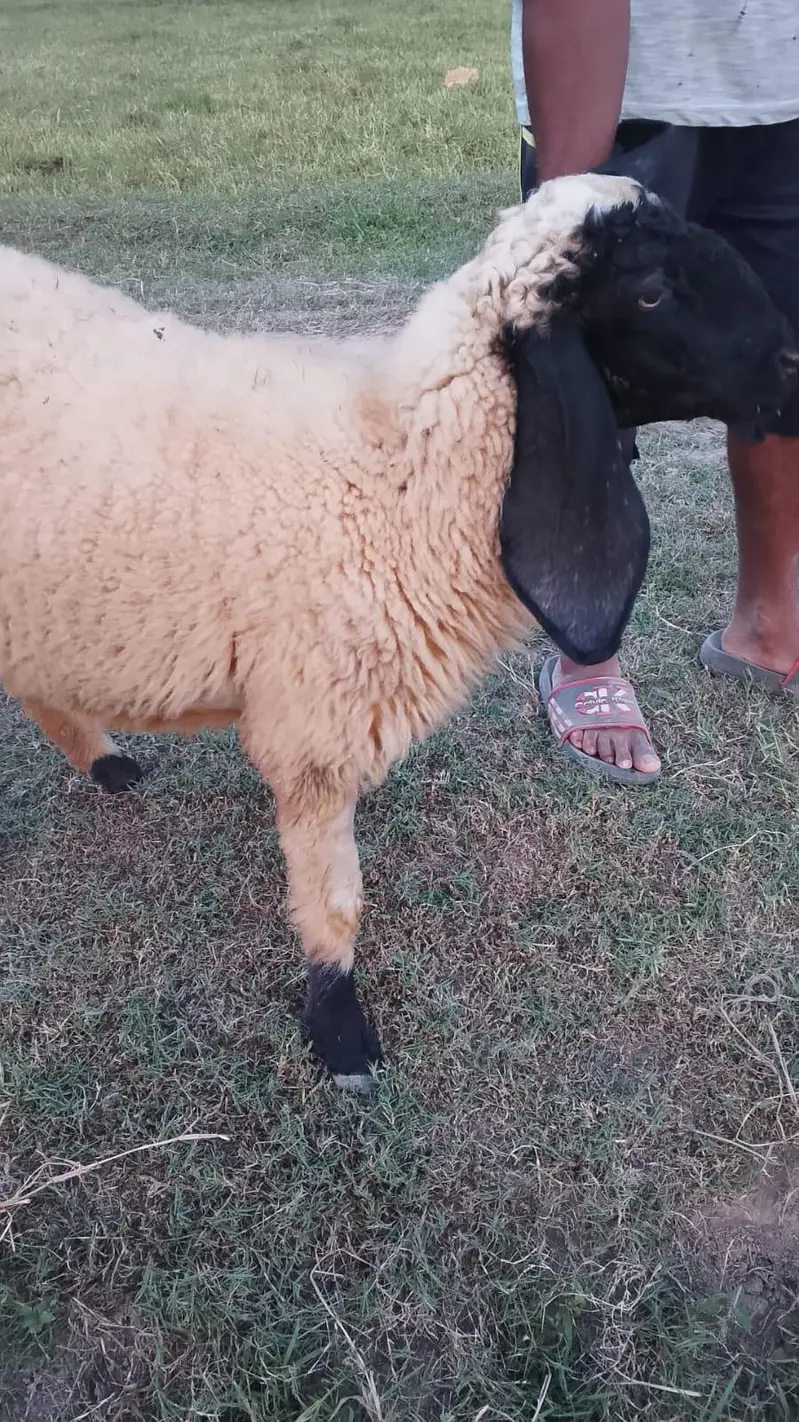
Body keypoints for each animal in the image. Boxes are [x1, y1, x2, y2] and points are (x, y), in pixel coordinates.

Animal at [1, 173, 795, 1091]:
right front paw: (340, 1034)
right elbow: (334, 901)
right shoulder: (313, 736)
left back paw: (109, 765)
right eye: (650, 291)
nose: (791, 370)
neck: (394, 474)